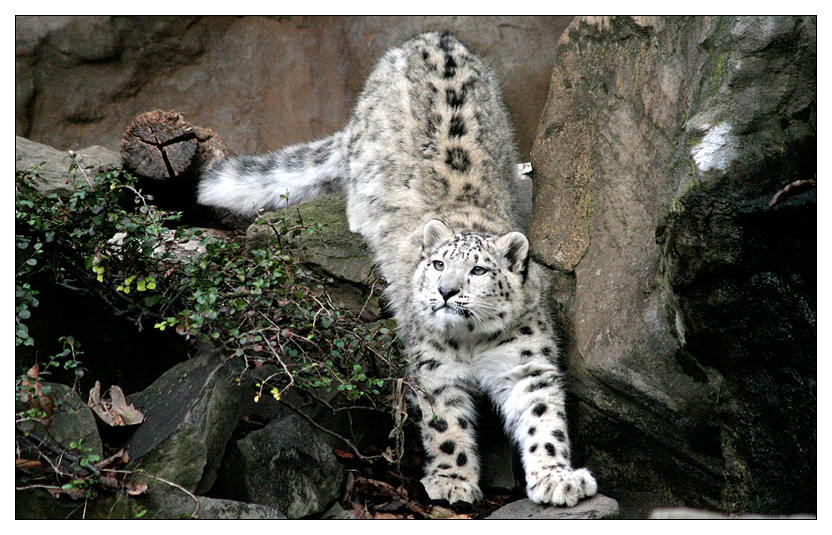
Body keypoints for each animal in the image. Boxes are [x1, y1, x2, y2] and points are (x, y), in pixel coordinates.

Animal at [197, 31, 596, 508]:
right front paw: (453, 481)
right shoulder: (434, 365)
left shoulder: (526, 363)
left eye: (479, 271)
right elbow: (446, 425)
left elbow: (542, 419)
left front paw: (558, 478)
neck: (473, 342)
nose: (445, 291)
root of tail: (433, 36)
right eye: (439, 264)